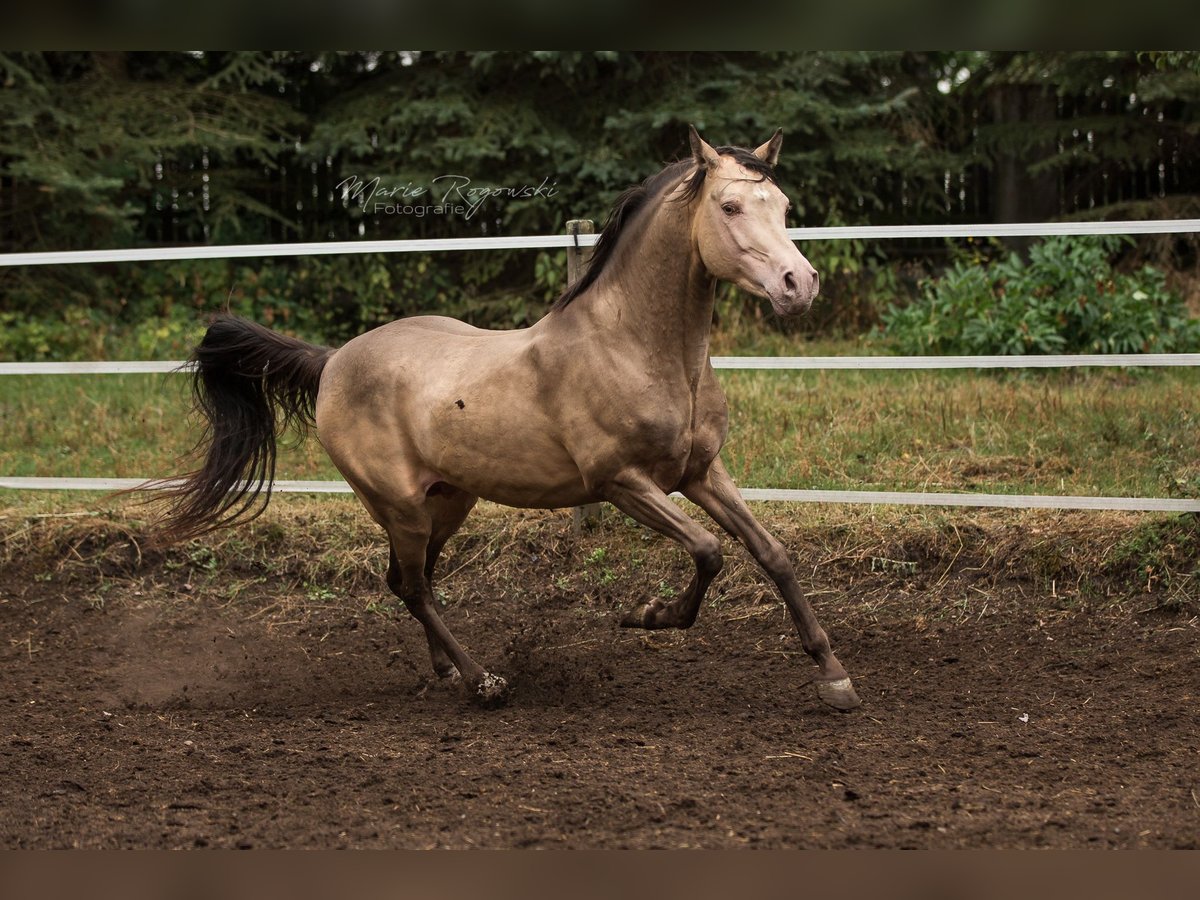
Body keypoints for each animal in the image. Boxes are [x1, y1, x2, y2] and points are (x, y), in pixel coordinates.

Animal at [157, 127, 861, 712]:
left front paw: (834, 677)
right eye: (730, 207)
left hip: (448, 501)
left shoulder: (700, 473)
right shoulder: (621, 482)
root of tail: (332, 362)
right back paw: (483, 682)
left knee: (409, 579)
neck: (636, 347)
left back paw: (446, 670)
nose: (799, 284)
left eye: (785, 206)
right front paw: (647, 614)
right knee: (413, 587)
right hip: (400, 505)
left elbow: (772, 553)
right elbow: (710, 552)